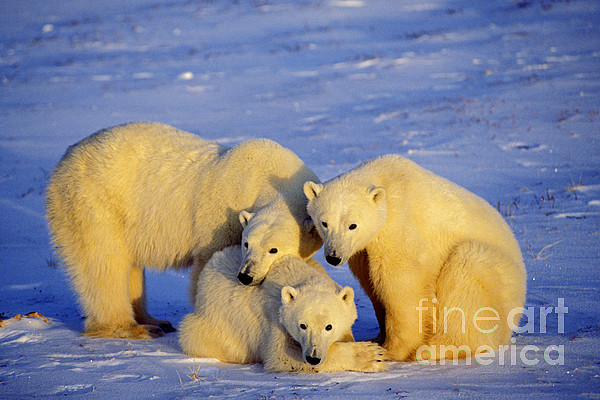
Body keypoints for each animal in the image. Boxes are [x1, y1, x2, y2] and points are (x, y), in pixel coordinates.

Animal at [45, 122, 324, 338]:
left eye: (273, 249)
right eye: (247, 244)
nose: (246, 276)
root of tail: (65, 159)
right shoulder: (221, 216)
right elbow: (208, 264)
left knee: (129, 266)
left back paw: (154, 320)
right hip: (93, 204)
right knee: (104, 264)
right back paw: (131, 328)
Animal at [179, 245, 384, 374]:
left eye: (329, 326)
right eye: (302, 325)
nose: (313, 358)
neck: (297, 274)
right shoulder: (274, 318)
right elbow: (280, 355)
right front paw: (373, 355)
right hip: (210, 325)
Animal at [304, 155, 524, 362]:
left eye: (352, 225)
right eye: (324, 223)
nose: (333, 257)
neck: (384, 178)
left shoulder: (400, 222)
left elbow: (402, 284)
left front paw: (390, 350)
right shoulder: (362, 251)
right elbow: (372, 284)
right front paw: (377, 338)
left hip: (498, 279)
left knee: (467, 277)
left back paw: (433, 348)